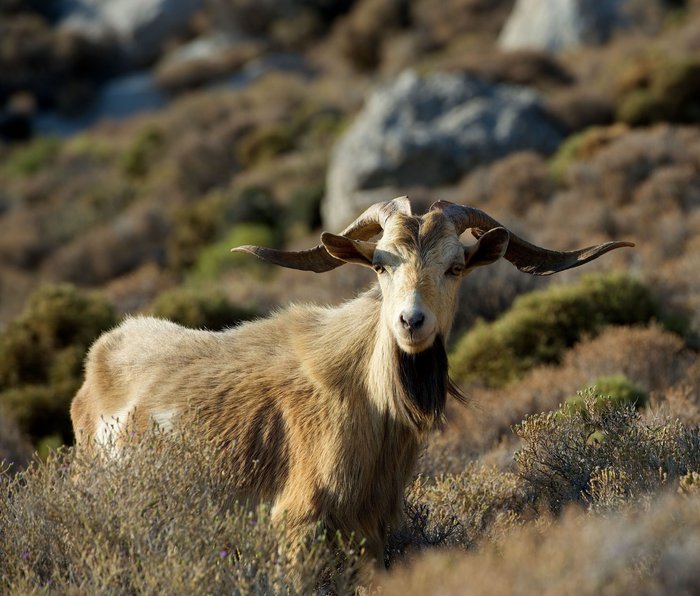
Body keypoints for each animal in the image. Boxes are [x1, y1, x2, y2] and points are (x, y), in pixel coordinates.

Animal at [71, 199, 636, 564]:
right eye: (381, 265)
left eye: (456, 266)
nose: (412, 322)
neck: (369, 398)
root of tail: (96, 361)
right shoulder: (296, 524)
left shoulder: (367, 531)